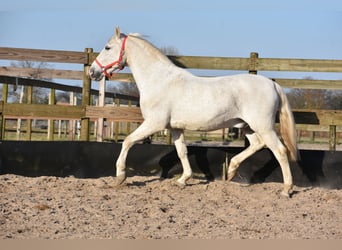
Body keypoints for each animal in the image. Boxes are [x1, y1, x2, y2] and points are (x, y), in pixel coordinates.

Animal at [89, 26, 300, 195]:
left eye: (107, 47)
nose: (92, 71)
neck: (159, 80)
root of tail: (273, 85)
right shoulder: (175, 128)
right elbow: (182, 151)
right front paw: (183, 180)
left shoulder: (154, 123)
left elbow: (128, 141)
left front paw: (120, 176)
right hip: (247, 126)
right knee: (257, 144)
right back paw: (231, 171)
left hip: (263, 126)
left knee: (280, 151)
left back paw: (286, 189)